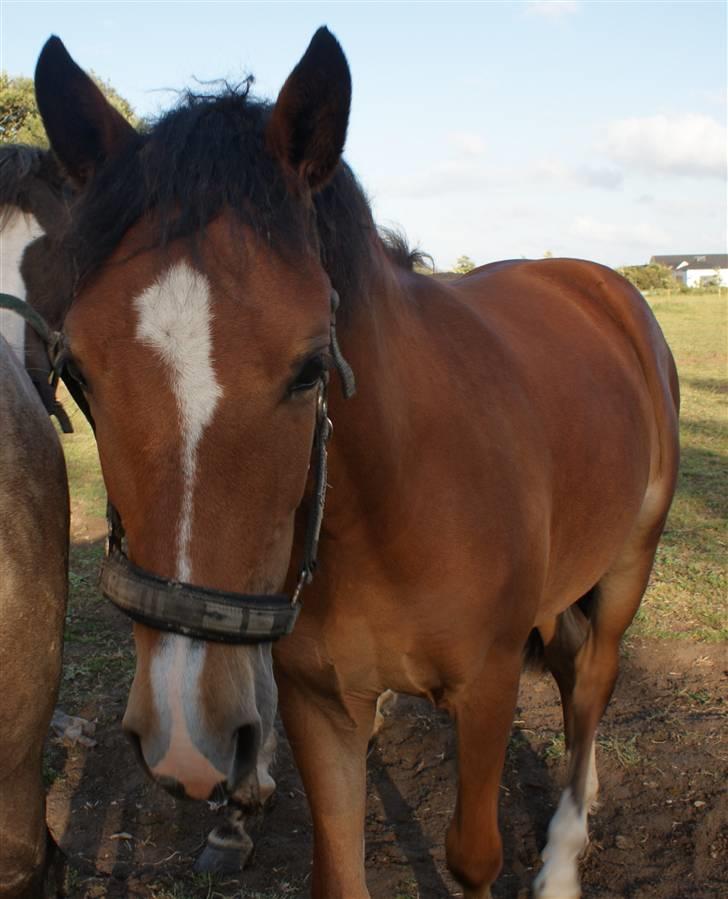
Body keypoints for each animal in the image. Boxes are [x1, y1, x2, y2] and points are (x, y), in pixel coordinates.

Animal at [32, 29, 684, 899]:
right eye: (78, 373)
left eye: (312, 368)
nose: (185, 737)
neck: (395, 504)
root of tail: (600, 284)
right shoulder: (318, 703)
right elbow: (339, 865)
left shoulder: (488, 690)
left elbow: (473, 854)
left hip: (627, 569)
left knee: (593, 683)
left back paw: (563, 854)